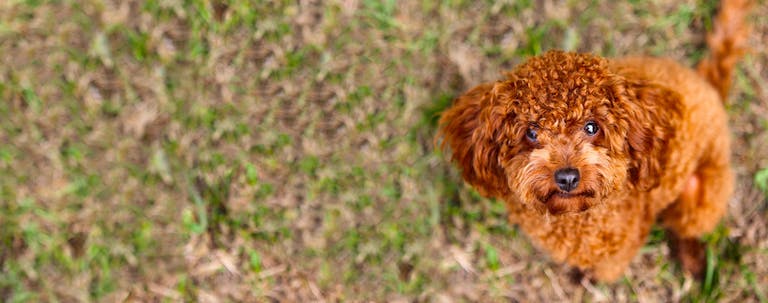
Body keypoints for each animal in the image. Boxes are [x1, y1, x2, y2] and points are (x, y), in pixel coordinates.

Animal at [438, 0, 752, 282]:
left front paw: (590, 278)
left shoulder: (622, 247)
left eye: (592, 127)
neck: (576, 218)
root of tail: (709, 86)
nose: (567, 177)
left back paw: (692, 259)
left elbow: (607, 269)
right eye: (531, 132)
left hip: (705, 192)